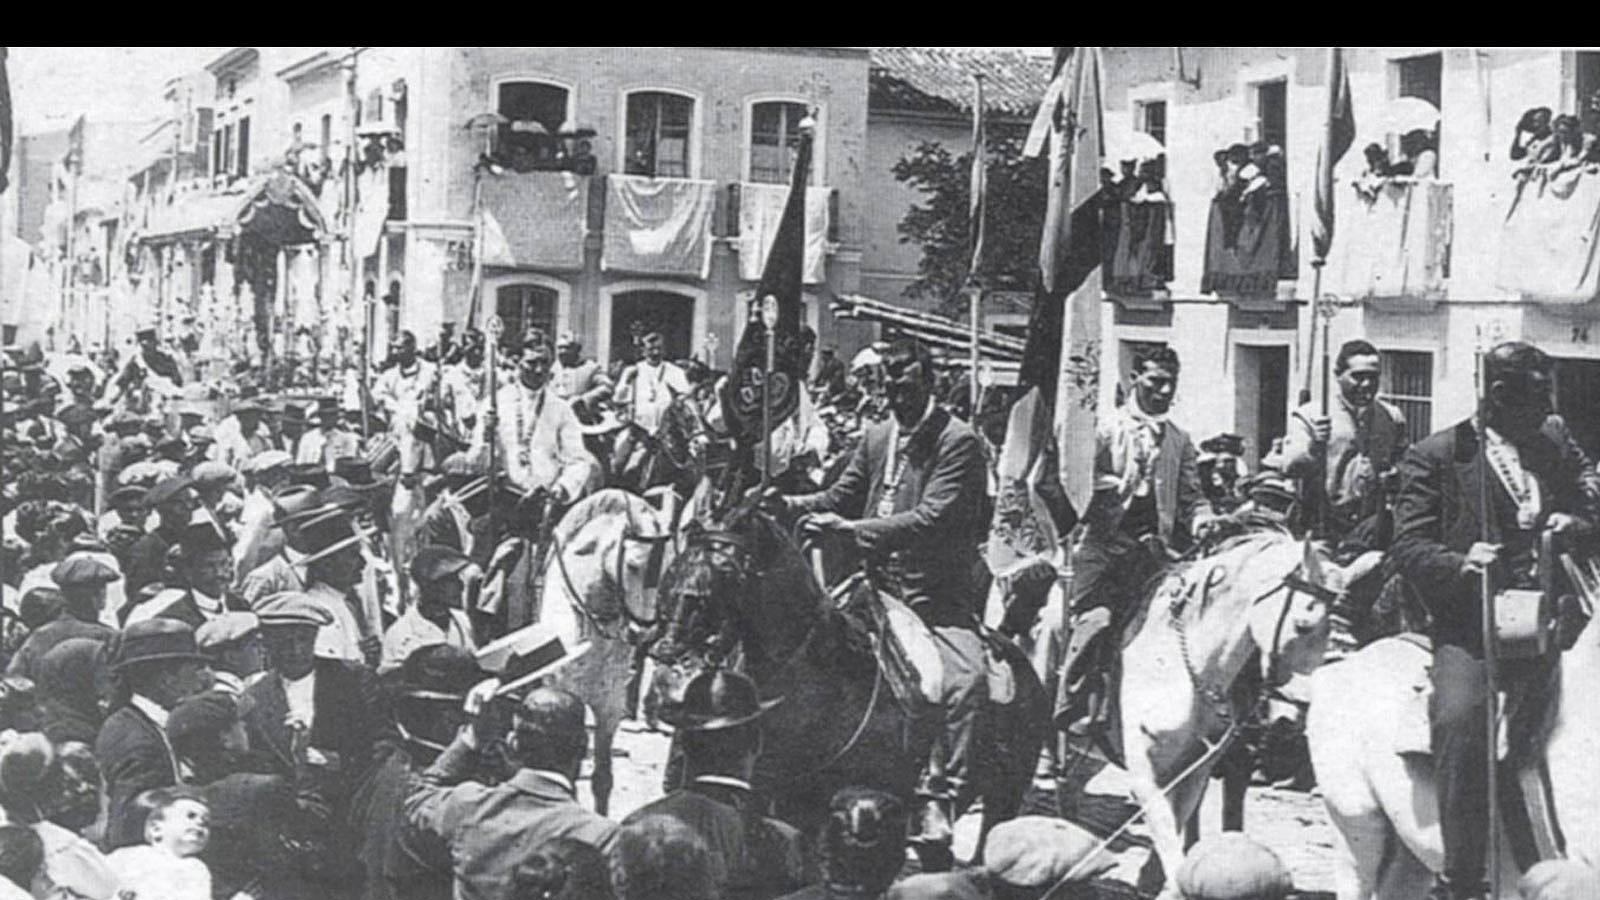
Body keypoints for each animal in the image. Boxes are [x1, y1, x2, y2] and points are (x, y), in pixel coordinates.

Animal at [531, 490, 668, 813]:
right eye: (632, 566)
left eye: (665, 568)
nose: (645, 632)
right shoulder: (567, 698)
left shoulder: (609, 707)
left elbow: (602, 778)